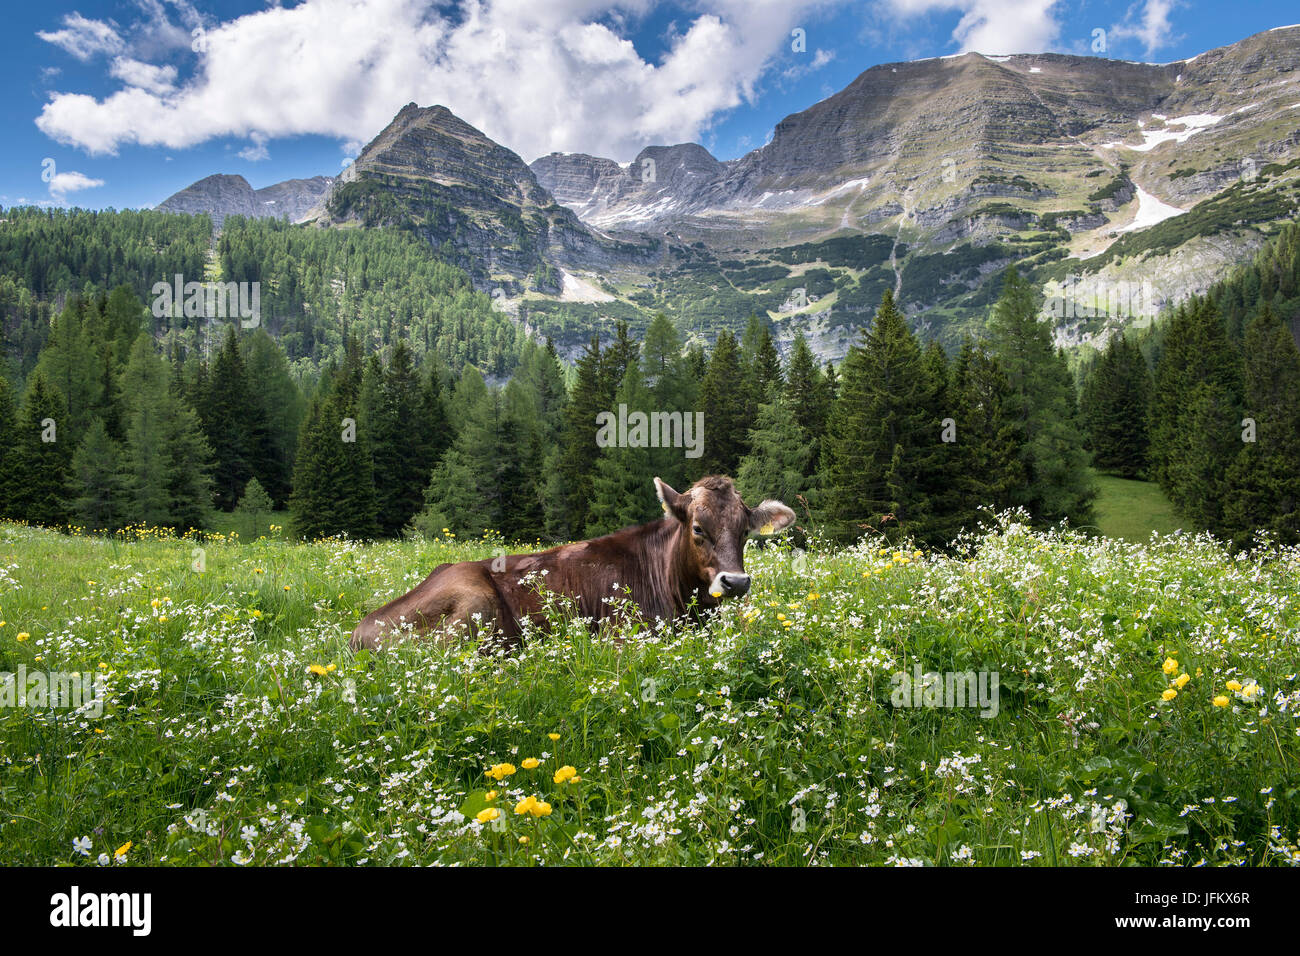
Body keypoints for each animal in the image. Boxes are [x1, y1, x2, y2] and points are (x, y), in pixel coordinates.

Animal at [349, 475, 796, 652]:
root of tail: (359, 631)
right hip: (475, 602)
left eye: (745, 531)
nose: (736, 582)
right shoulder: (621, 635)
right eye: (698, 528)